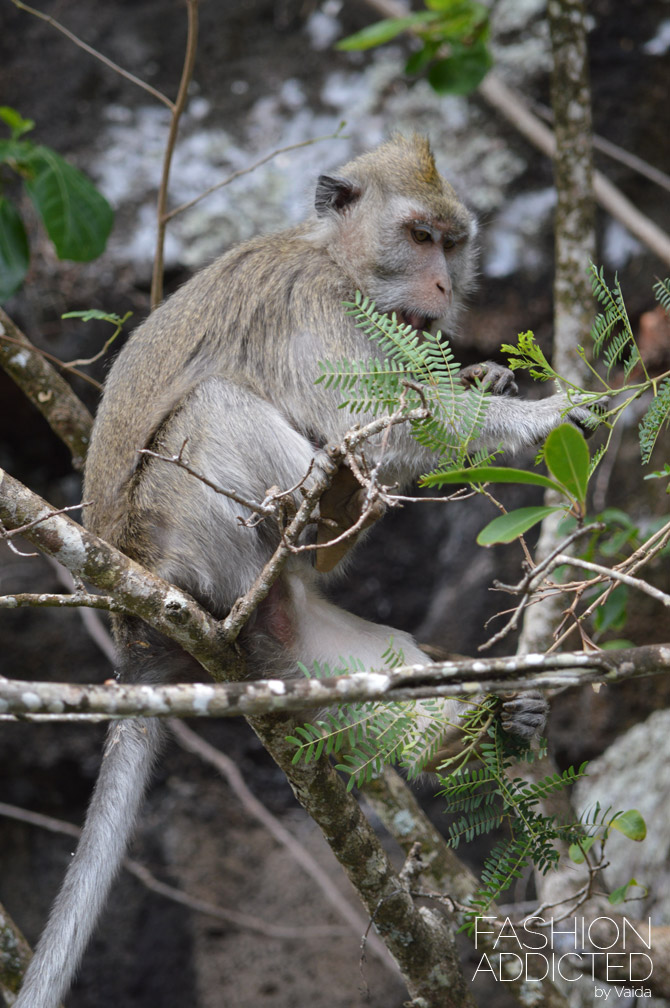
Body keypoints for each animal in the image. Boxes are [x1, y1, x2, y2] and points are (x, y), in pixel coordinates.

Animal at [14, 136, 596, 1008]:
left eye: (453, 243)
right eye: (419, 236)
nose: (443, 286)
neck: (334, 255)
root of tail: (136, 633)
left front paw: (487, 380)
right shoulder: (316, 304)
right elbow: (377, 425)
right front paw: (541, 411)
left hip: (288, 636)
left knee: (369, 656)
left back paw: (469, 728)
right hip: (185, 536)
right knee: (219, 407)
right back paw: (302, 519)